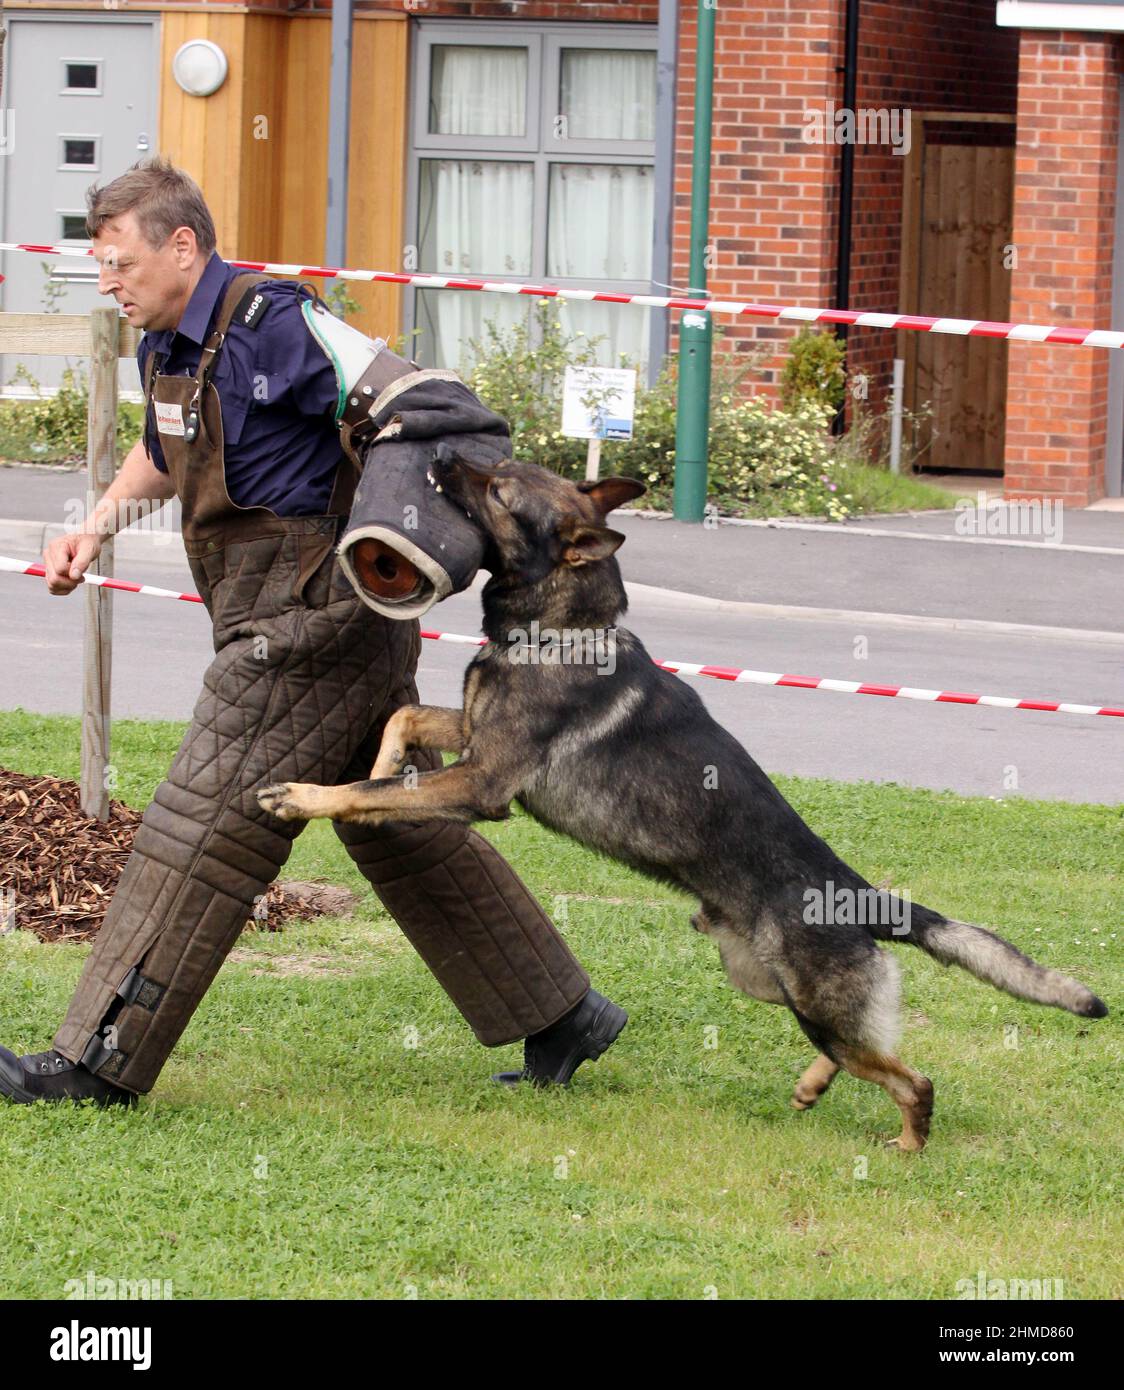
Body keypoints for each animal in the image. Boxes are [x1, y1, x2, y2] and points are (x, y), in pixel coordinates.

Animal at [261, 455, 1105, 1150]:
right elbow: (401, 724)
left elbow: (365, 790)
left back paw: (907, 1145)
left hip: (816, 1003)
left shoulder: (483, 781)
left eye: (498, 489)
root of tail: (863, 895)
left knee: (912, 1078)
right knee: (860, 1053)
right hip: (765, 984)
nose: (439, 453)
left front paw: (306, 797)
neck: (563, 628)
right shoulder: (470, 738)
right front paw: (380, 761)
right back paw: (812, 1088)